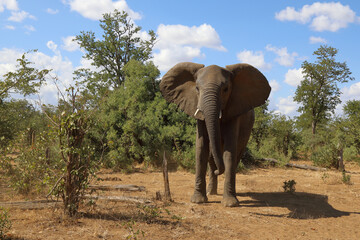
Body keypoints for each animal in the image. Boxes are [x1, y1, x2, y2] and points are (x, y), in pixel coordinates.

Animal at [160, 62, 270, 206]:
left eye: (226, 89)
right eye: (197, 88)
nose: (219, 171)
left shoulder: (234, 111)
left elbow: (230, 151)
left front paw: (230, 204)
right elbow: (201, 148)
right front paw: (197, 201)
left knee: (236, 156)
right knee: (212, 158)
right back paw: (211, 193)